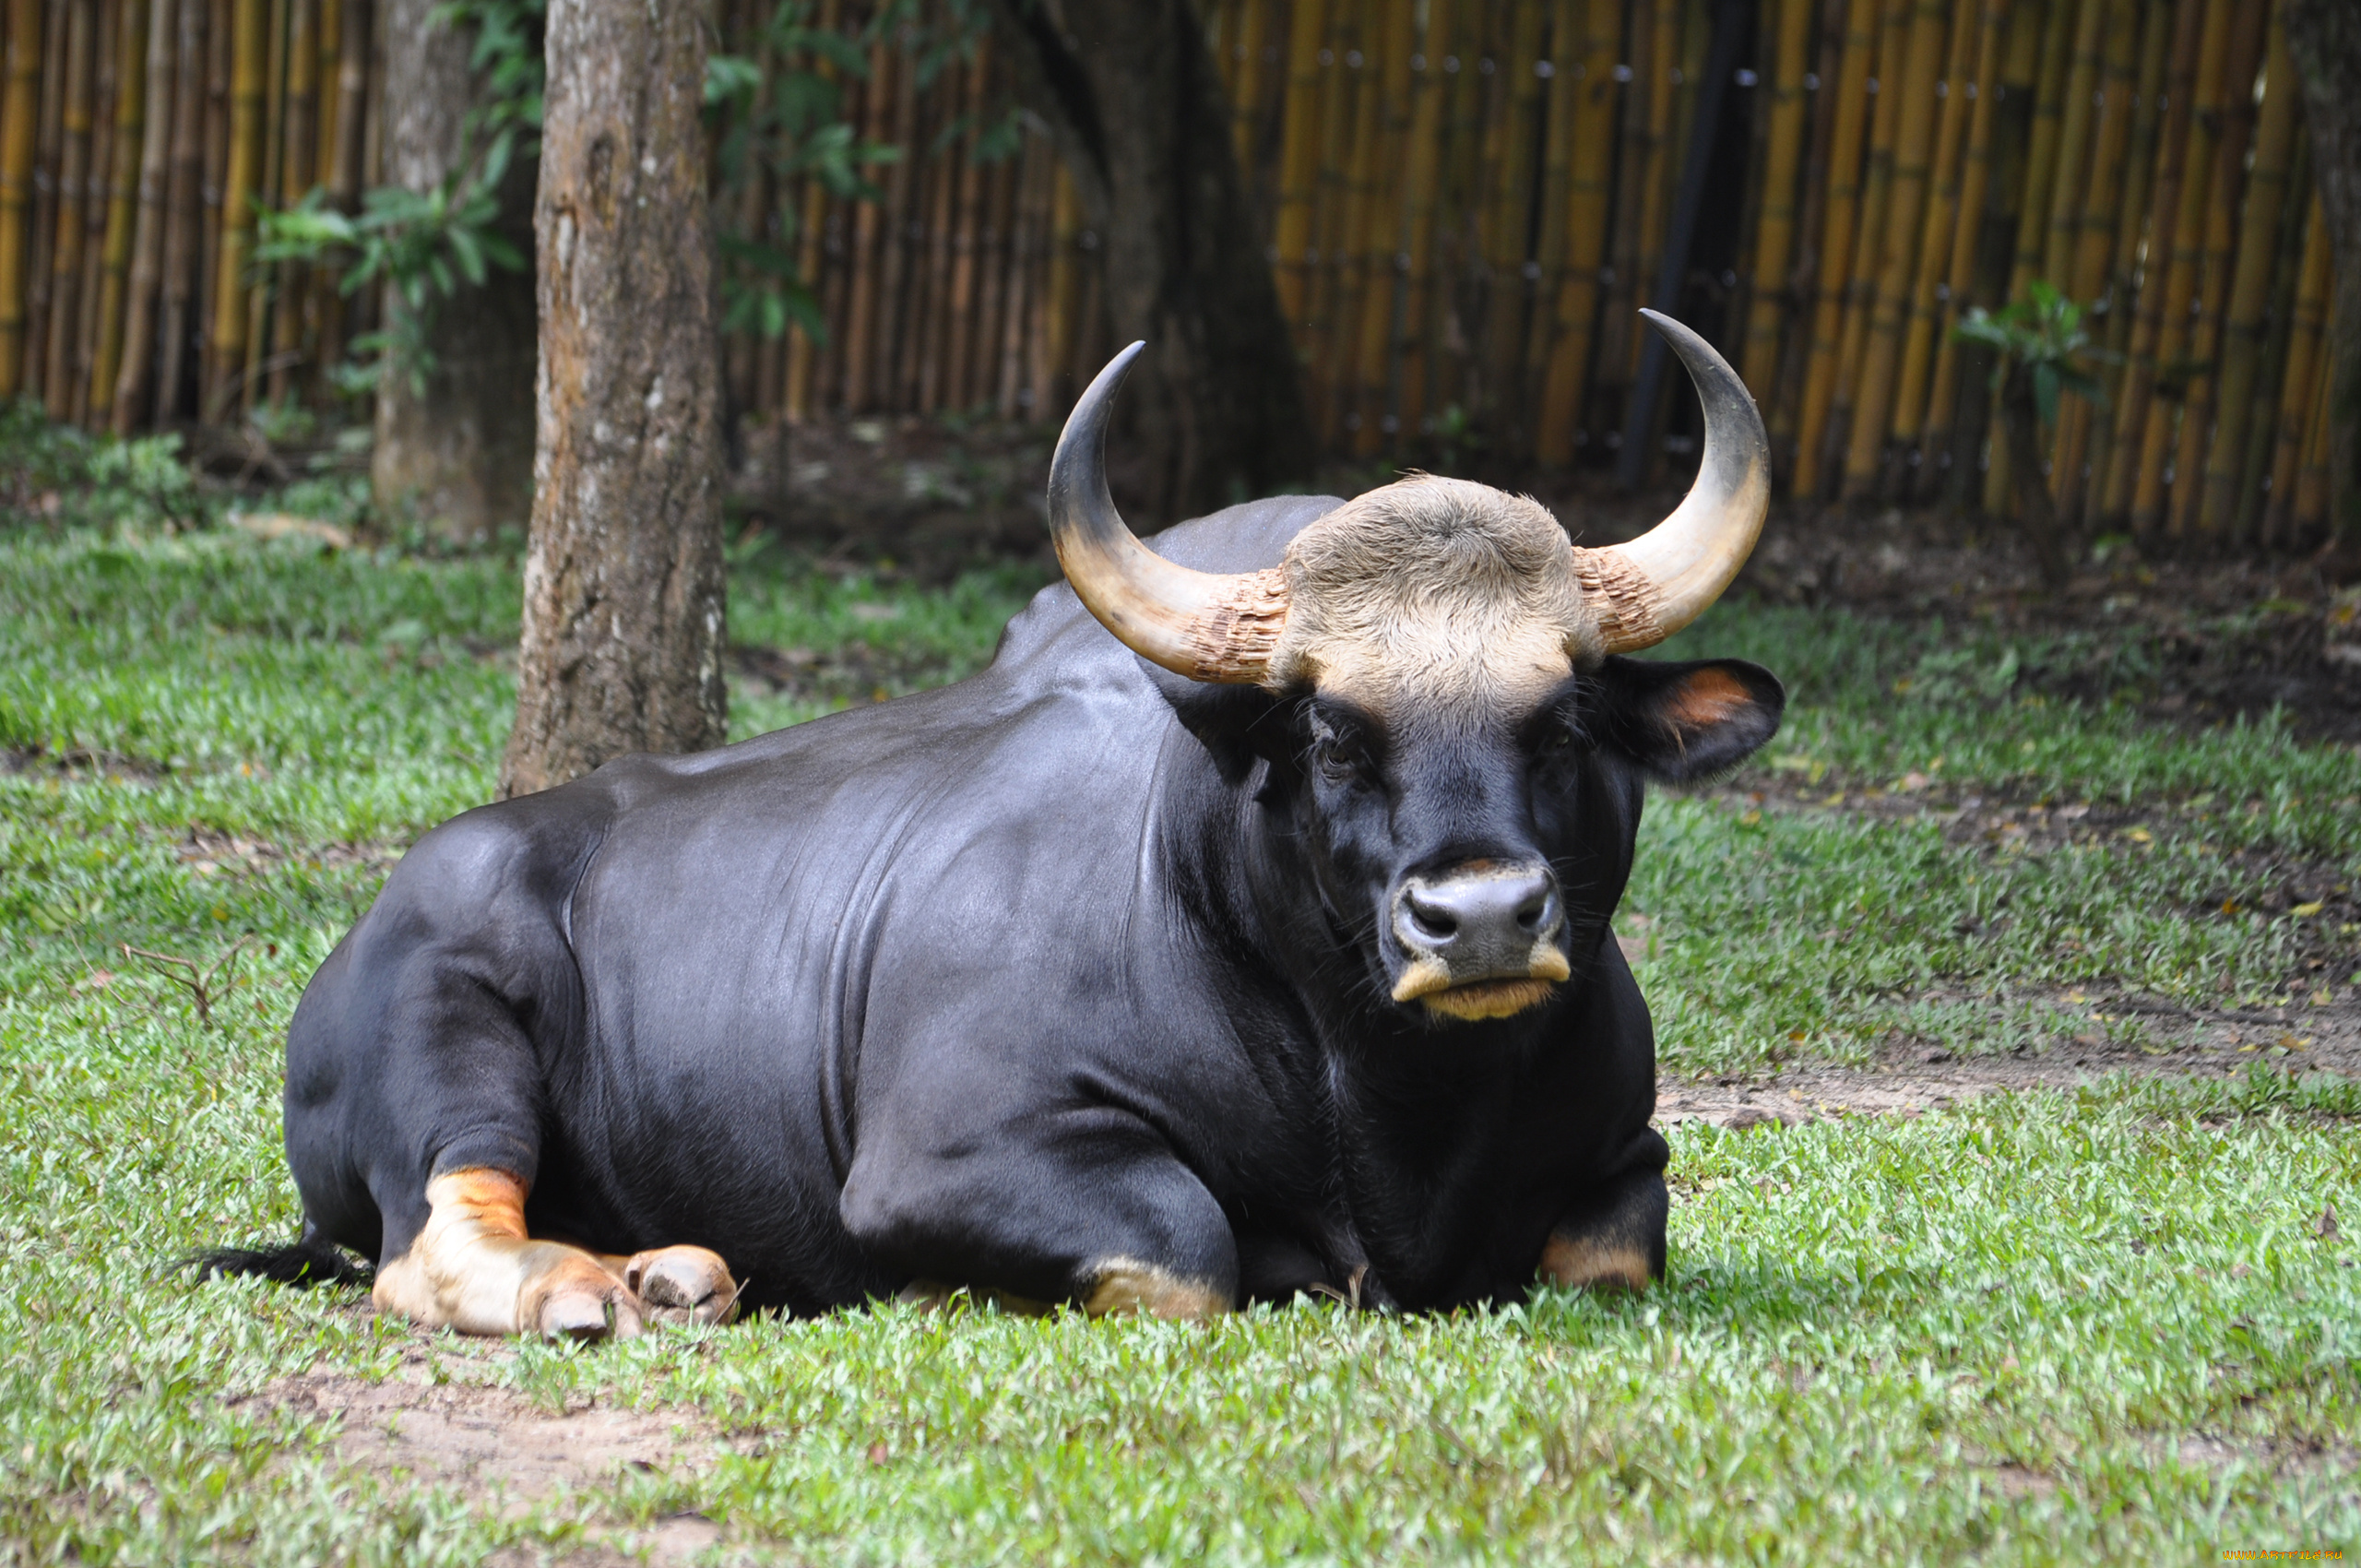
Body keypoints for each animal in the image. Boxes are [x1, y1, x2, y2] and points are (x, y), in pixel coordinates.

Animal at [201, 311, 1782, 1336]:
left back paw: (675, 1271)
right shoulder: (958, 1156)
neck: (1389, 1105)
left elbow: (1615, 1250)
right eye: (1334, 731)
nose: (1482, 920)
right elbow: (1186, 1256)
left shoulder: (1625, 1163)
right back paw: (586, 1288)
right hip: (448, 1044)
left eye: (1565, 717)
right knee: (432, 1235)